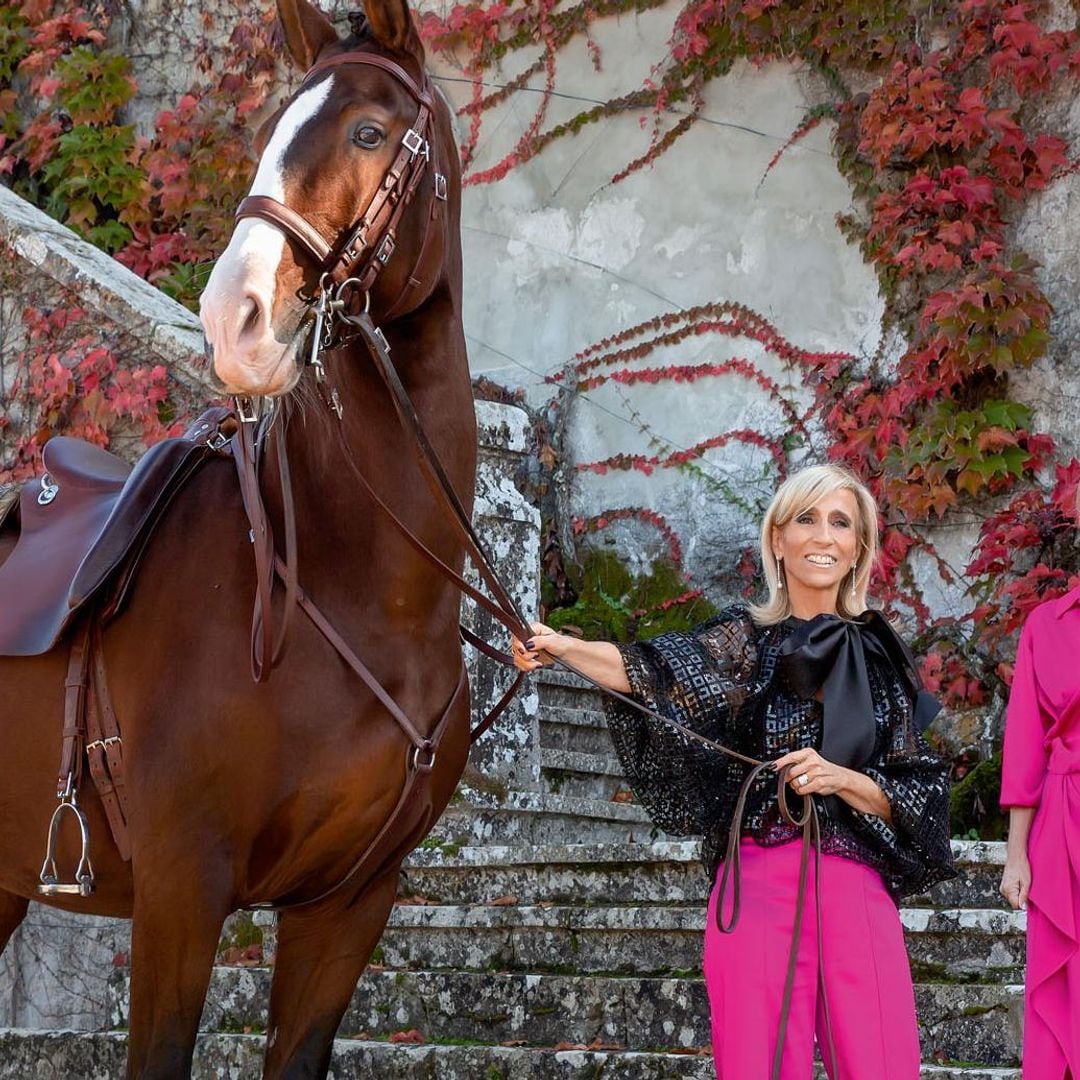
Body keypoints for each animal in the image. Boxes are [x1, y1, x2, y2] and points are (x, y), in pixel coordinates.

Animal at [0, 4, 481, 1075]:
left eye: (370, 132)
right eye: (268, 133)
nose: (235, 321)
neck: (358, 592)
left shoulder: (349, 907)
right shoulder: (182, 892)